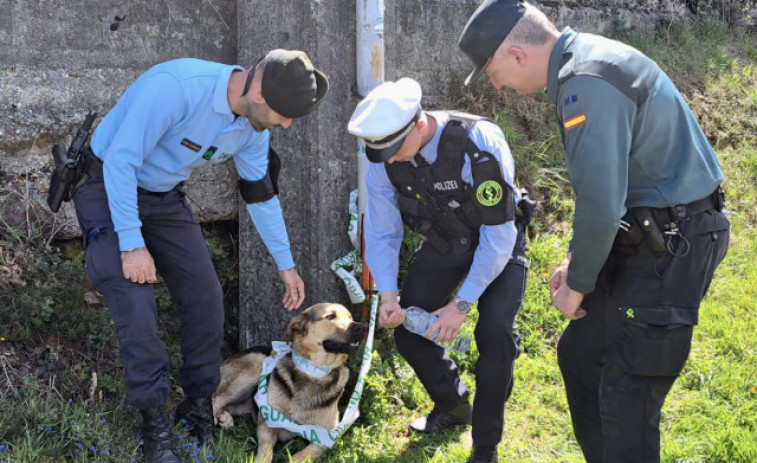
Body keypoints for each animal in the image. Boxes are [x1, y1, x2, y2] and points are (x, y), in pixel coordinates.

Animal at [213, 304, 366, 463]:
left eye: (350, 317)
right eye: (330, 316)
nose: (362, 327)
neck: (313, 372)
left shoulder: (328, 435)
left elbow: (305, 454)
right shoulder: (266, 425)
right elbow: (266, 450)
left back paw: (224, 417)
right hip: (256, 364)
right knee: (215, 398)